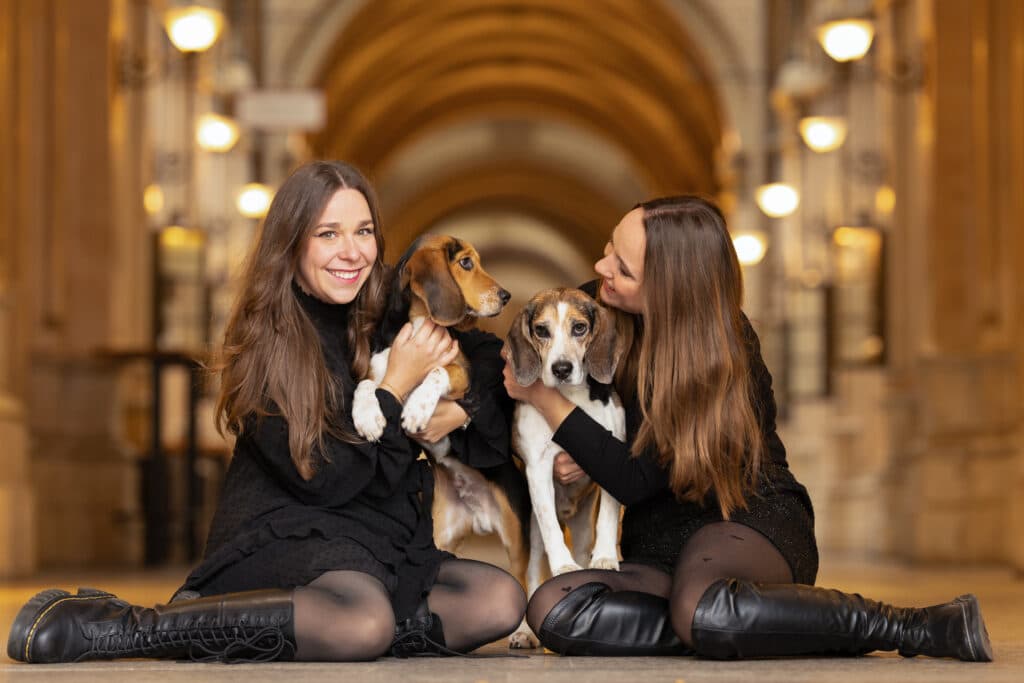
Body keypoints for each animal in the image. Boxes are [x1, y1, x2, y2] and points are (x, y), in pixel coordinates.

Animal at [503, 288, 622, 598]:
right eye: (541, 330)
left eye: (579, 328)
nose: (561, 369)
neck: (571, 399)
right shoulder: (539, 468)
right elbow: (551, 528)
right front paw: (563, 566)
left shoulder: (612, 463)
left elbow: (607, 516)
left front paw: (605, 557)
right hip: (532, 535)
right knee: (534, 570)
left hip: (581, 528)